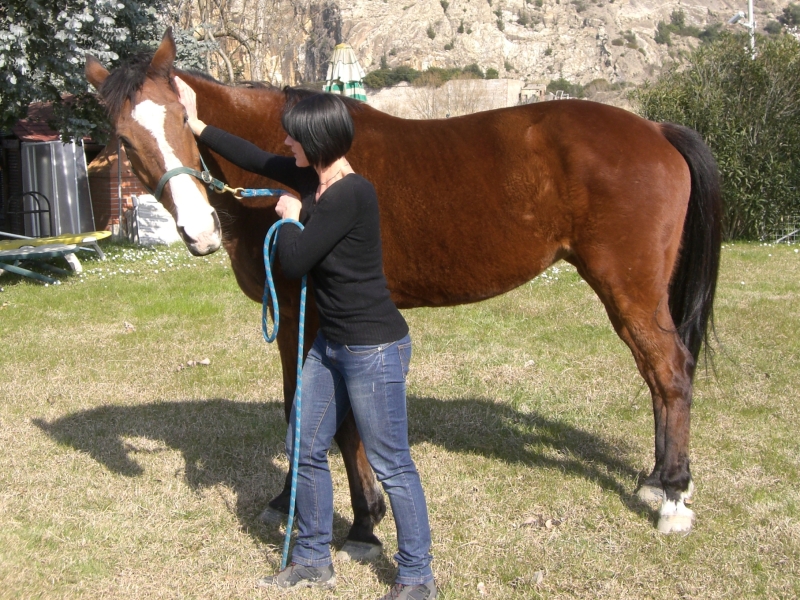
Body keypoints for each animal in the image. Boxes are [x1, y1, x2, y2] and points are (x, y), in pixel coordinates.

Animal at [85, 29, 721, 548]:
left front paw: (365, 519)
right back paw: (656, 482)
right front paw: (286, 500)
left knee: (670, 371)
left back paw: (673, 500)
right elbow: (299, 406)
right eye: (124, 139)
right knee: (657, 375)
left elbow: (336, 420)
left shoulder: (319, 315)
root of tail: (654, 129)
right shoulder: (292, 315)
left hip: (628, 288)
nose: (198, 231)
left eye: (179, 119)